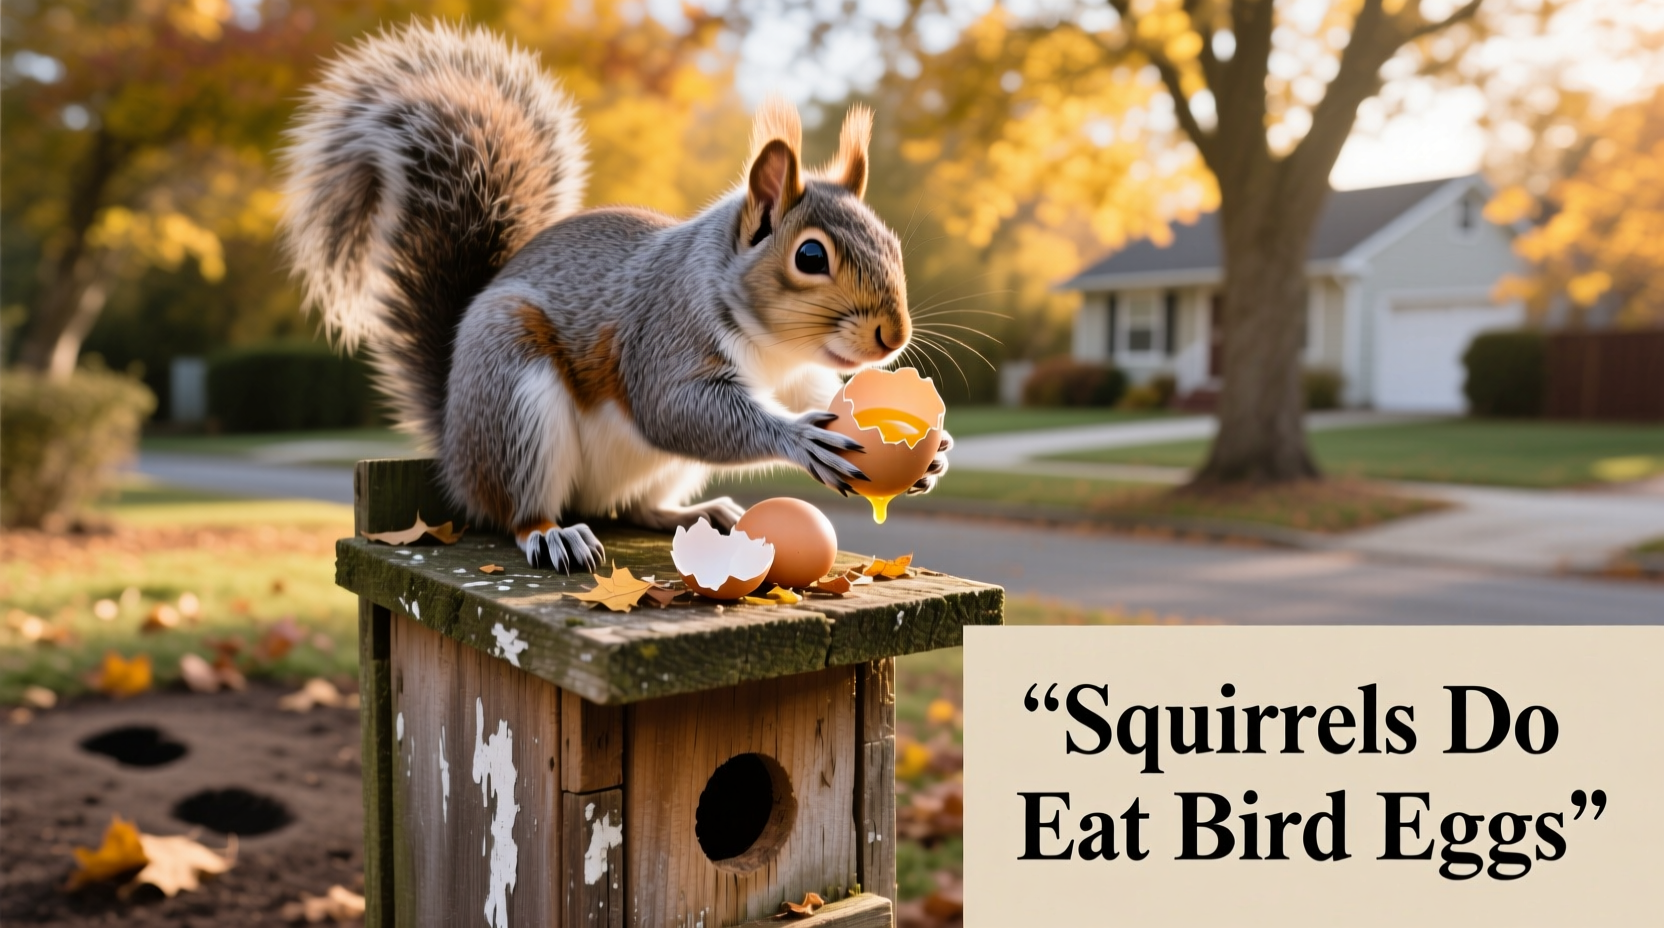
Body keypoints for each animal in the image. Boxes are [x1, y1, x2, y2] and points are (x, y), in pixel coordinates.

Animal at [279, 22, 951, 571]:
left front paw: (937, 451)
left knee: (632, 508)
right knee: (515, 509)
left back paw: (694, 514)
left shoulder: (797, 377)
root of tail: (454, 446)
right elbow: (674, 409)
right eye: (810, 257)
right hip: (513, 397)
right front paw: (803, 438)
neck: (775, 350)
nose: (894, 335)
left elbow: (815, 396)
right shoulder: (665, 333)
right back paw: (551, 533)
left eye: (890, 241)